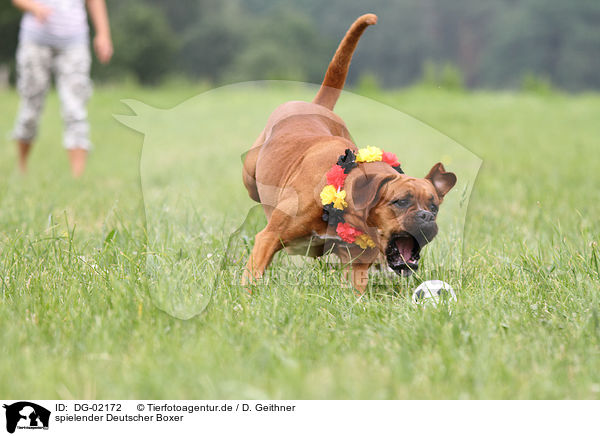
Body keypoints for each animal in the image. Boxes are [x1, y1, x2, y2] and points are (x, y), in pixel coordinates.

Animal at [240, 12, 454, 292]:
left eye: (434, 206)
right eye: (400, 202)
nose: (427, 216)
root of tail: (316, 105)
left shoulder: (356, 264)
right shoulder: (268, 238)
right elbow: (252, 274)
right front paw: (244, 294)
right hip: (250, 176)